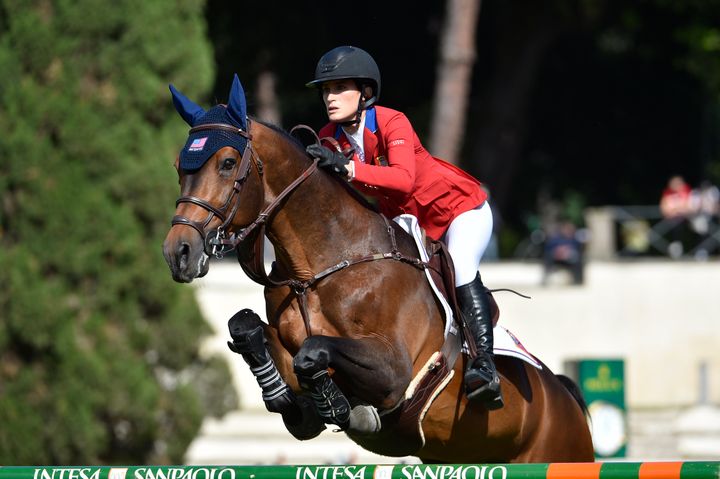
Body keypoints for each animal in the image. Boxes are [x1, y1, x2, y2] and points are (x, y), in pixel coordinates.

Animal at [162, 75, 595, 463]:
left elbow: (313, 351)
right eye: (179, 166)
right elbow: (248, 327)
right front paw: (286, 393)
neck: (317, 270)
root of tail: (562, 395)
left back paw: (483, 376)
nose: (178, 253)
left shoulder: (394, 374)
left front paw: (339, 406)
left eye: (228, 163)